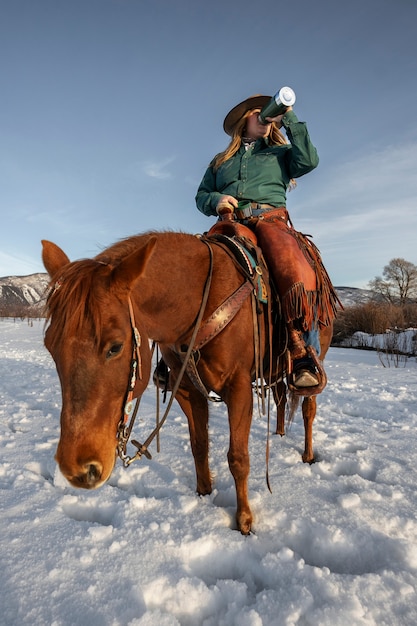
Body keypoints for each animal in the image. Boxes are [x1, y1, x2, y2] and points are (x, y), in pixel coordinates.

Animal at [40, 232, 330, 532]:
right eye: (50, 346)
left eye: (115, 347)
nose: (77, 470)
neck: (200, 300)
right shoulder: (187, 389)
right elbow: (199, 445)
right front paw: (204, 493)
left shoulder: (238, 388)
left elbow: (238, 457)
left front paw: (244, 521)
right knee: (281, 395)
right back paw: (280, 432)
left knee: (308, 409)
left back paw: (308, 454)